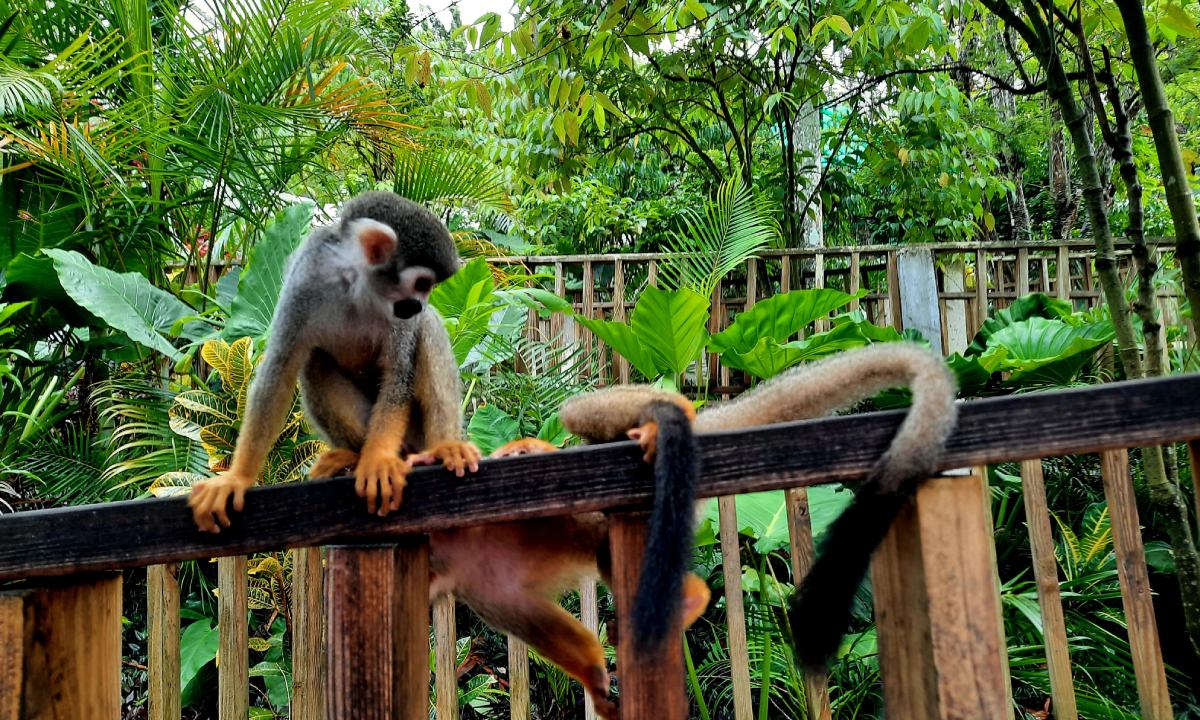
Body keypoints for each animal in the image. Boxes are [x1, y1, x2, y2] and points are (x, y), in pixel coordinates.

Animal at [188, 191, 482, 533]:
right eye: (422, 284)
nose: (420, 305)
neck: (357, 284)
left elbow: (398, 375)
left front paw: (378, 459)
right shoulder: (307, 276)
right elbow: (279, 370)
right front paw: (237, 477)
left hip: (416, 431)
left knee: (429, 329)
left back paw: (441, 448)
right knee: (314, 361)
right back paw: (353, 456)